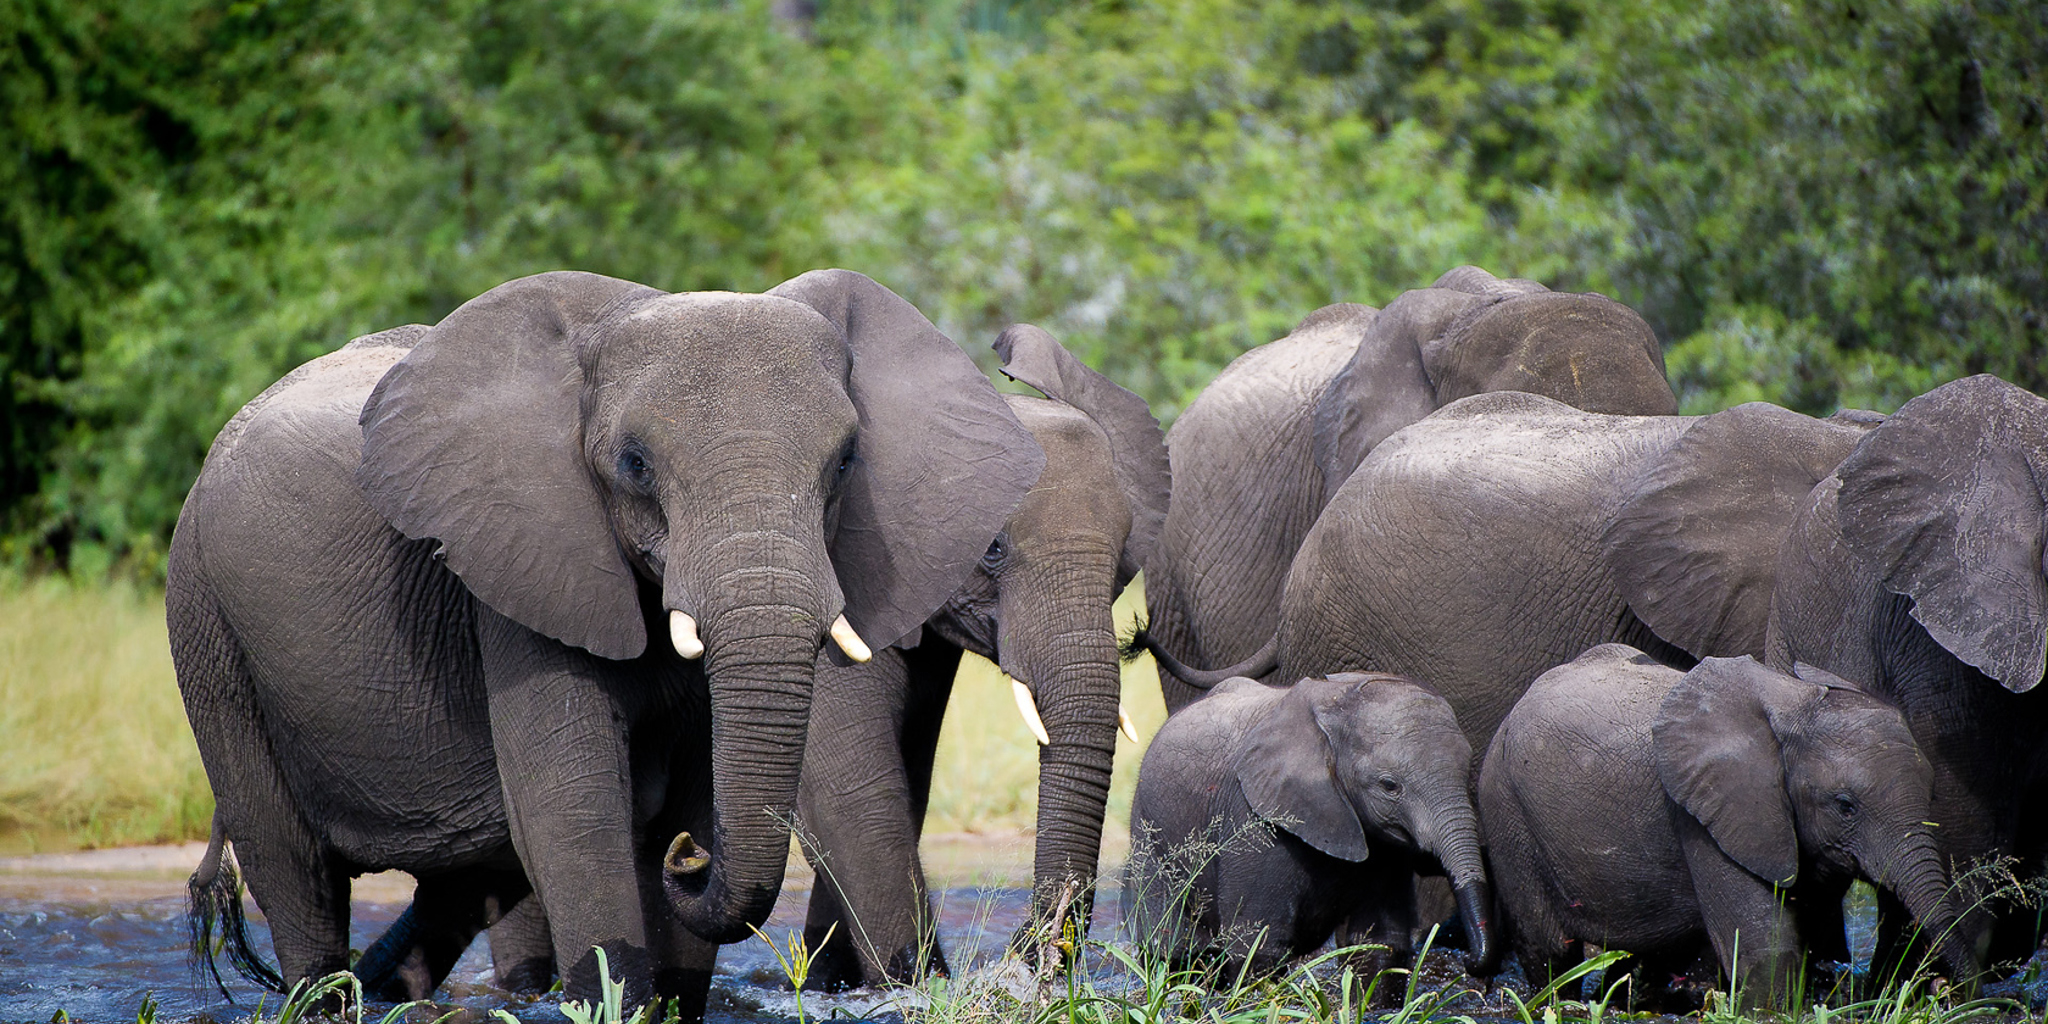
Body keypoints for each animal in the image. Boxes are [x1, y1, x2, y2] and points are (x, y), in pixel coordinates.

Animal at [163, 268, 1040, 1011]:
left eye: (848, 460)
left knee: (466, 881)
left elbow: (691, 789)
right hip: (205, 620)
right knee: (292, 865)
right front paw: (612, 992)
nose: (689, 859)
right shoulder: (517, 567)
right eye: (635, 464)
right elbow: (572, 808)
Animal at [782, 323, 1171, 987]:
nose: (1027, 947)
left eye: (1125, 553)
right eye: (991, 548)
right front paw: (913, 990)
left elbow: (905, 777)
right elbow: (852, 788)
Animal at [1114, 675, 1499, 978]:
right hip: (1149, 834)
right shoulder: (1256, 821)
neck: (1338, 706)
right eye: (1390, 786)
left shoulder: (1385, 852)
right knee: (1173, 950)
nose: (1469, 962)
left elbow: (1378, 945)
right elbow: (1257, 947)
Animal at [1482, 647, 1974, 1007]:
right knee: (1550, 951)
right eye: (1845, 807)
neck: (1795, 705)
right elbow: (1765, 946)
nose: (1948, 992)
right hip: (1506, 809)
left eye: (1932, 796)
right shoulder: (1705, 817)